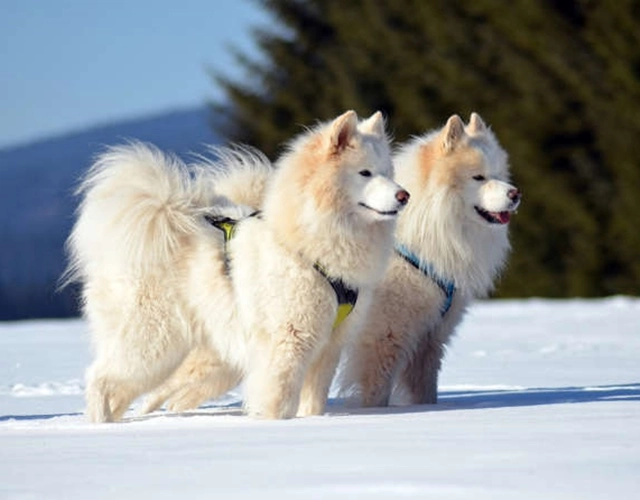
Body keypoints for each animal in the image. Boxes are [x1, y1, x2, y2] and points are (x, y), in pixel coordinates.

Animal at [65, 110, 410, 422]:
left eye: (388, 172)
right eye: (365, 173)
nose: (404, 195)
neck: (306, 244)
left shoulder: (328, 348)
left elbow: (313, 402)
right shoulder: (289, 341)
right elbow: (278, 398)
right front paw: (274, 424)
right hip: (152, 341)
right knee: (101, 378)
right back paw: (99, 425)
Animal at [340, 113, 520, 406]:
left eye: (498, 175)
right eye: (478, 178)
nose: (516, 194)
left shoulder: (430, 337)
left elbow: (426, 389)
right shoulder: (382, 336)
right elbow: (376, 390)